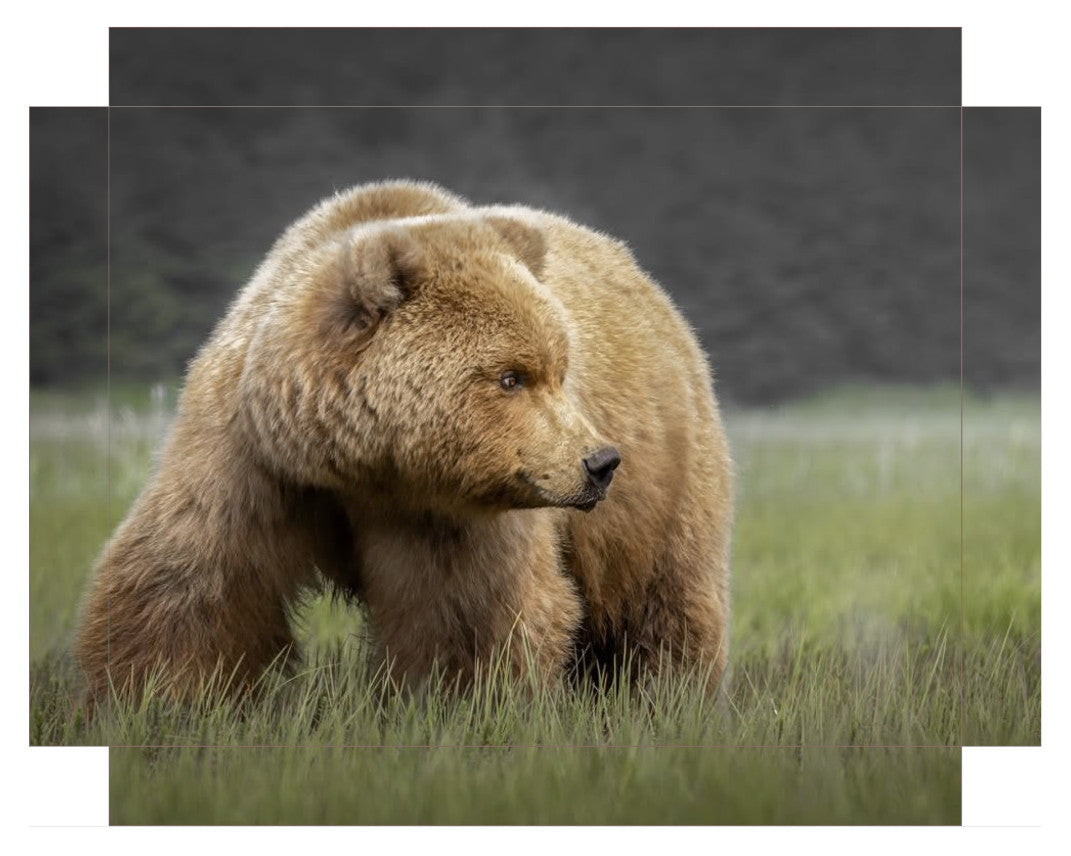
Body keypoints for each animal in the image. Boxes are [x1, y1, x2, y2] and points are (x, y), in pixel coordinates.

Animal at [75, 180, 733, 701]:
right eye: (511, 377)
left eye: (559, 371)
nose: (599, 461)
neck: (358, 464)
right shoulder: (252, 456)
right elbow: (190, 582)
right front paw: (152, 699)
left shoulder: (448, 513)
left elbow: (468, 614)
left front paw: (461, 704)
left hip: (667, 478)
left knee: (664, 600)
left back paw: (669, 695)